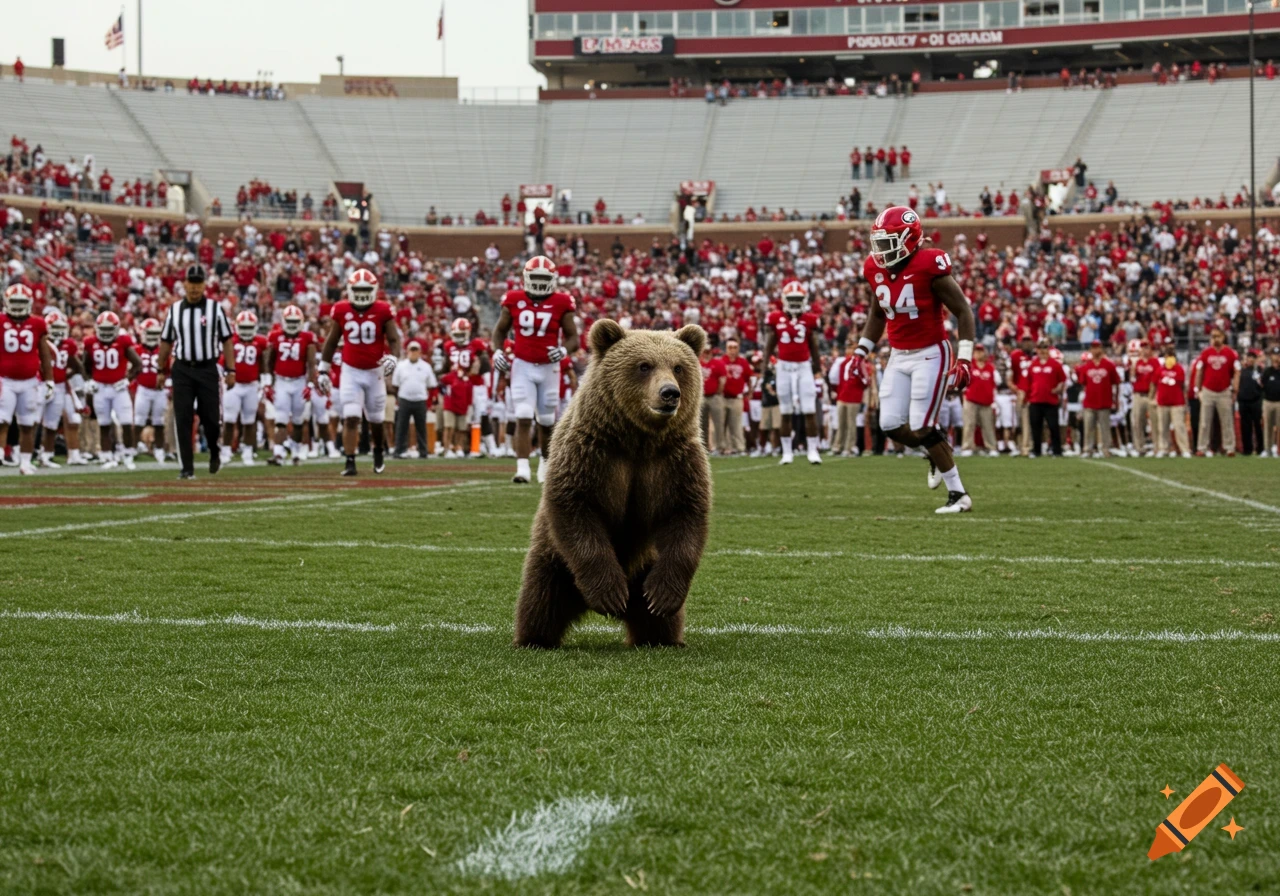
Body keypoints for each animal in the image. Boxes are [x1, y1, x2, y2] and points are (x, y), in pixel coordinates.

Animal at [514, 319, 711, 649]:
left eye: (679, 367)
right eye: (644, 365)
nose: (670, 393)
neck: (637, 440)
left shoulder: (676, 462)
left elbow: (686, 515)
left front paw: (661, 596)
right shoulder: (589, 454)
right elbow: (575, 507)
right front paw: (610, 594)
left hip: (645, 565)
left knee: (658, 620)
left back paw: (663, 637)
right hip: (554, 561)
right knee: (541, 598)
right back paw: (535, 638)